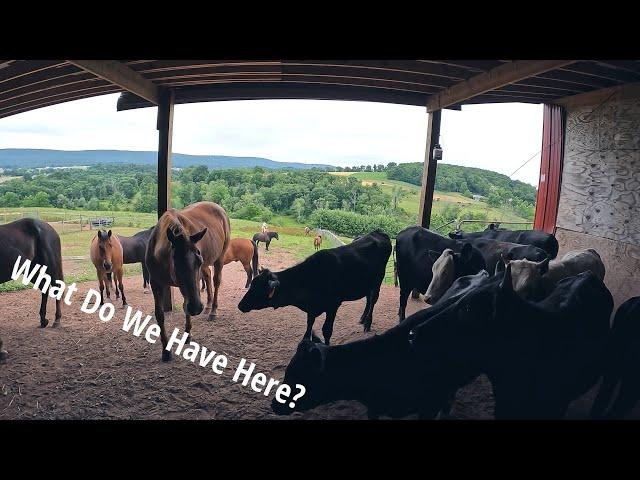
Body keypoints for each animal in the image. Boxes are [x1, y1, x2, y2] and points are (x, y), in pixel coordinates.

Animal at [0, 217, 64, 360]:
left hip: (50, 266)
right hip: (31, 269)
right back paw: (43, 320)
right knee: (44, 287)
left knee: (56, 288)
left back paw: (56, 320)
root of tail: (49, 228)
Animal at [146, 201, 231, 362]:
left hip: (220, 257)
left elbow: (186, 307)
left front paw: (187, 335)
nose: (197, 307)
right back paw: (208, 306)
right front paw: (166, 350)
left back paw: (213, 311)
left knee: (216, 281)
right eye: (176, 262)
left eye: (199, 261)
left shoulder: (193, 283)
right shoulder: (156, 283)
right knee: (208, 276)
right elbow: (160, 314)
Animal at [239, 230, 392, 344]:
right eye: (252, 285)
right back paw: (362, 318)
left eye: (258, 289)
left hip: (377, 282)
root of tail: (378, 232)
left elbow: (327, 331)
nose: (240, 305)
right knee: (368, 299)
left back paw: (367, 323)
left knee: (373, 300)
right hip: (367, 284)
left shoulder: (333, 306)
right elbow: (308, 329)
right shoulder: (312, 308)